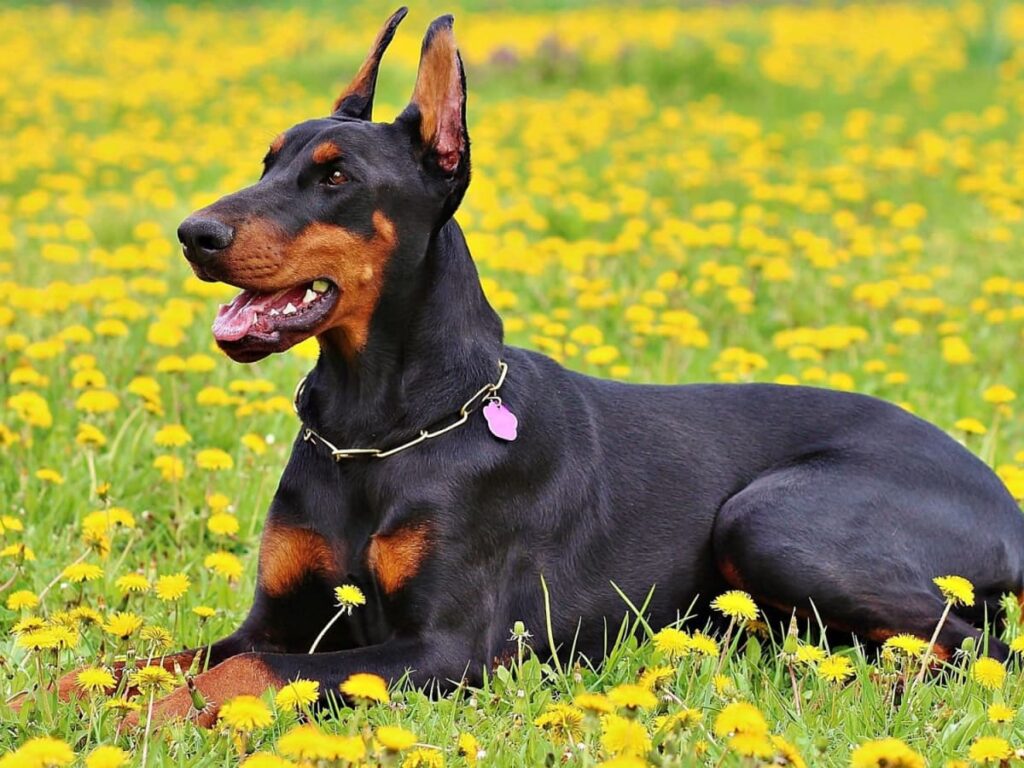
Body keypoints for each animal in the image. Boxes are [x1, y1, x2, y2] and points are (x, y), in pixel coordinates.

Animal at [49, 9, 1024, 724]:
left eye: (334, 177)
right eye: (267, 161)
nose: (194, 234)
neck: (378, 427)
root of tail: (1007, 502)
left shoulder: (445, 648)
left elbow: (240, 677)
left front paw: (140, 720)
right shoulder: (280, 617)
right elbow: (145, 657)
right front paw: (53, 698)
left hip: (770, 519)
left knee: (977, 645)